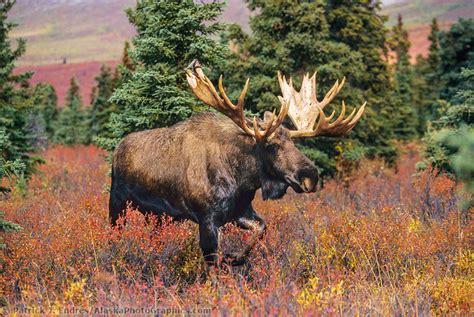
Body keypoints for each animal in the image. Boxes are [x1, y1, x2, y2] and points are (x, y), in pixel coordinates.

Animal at [111, 59, 366, 264]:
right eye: (271, 146)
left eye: (294, 143)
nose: (310, 176)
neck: (243, 179)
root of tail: (117, 149)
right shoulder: (207, 218)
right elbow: (212, 261)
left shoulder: (240, 211)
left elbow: (261, 229)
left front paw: (236, 257)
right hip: (118, 203)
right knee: (115, 232)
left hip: (157, 216)